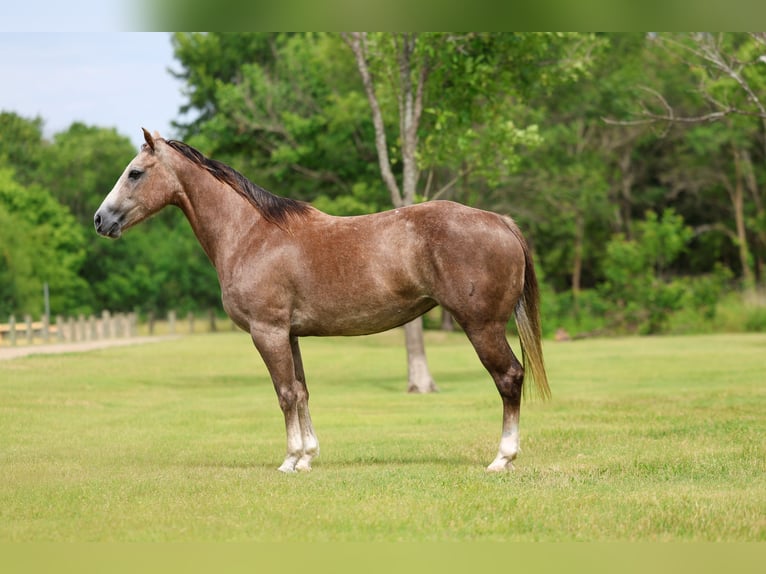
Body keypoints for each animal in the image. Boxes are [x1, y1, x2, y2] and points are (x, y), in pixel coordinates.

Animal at [94, 129, 550, 473]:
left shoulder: (267, 332)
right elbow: (301, 390)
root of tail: (500, 222)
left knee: (509, 378)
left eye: (135, 173)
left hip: (482, 327)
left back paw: (502, 458)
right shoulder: (289, 334)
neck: (251, 234)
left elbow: (284, 393)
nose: (101, 219)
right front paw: (308, 457)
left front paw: (289, 460)